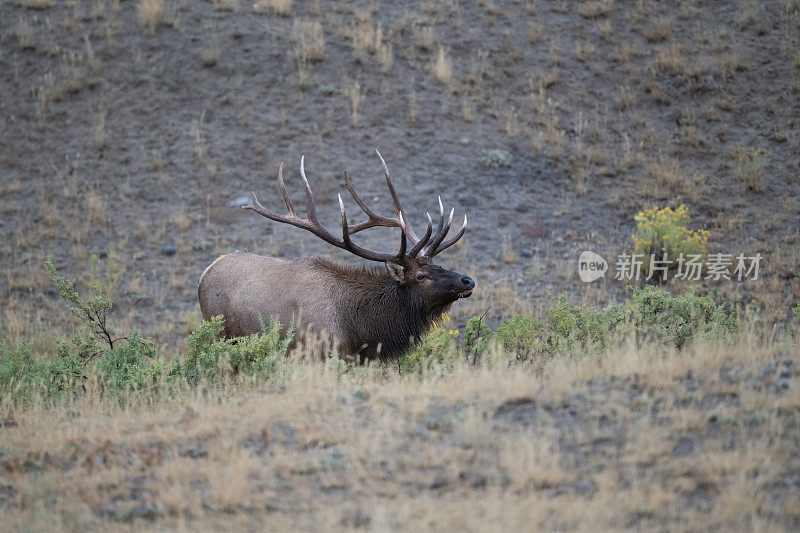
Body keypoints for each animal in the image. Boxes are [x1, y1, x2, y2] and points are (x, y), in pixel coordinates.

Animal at [198, 148, 476, 360]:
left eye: (438, 265)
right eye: (421, 276)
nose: (467, 280)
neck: (359, 329)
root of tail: (206, 271)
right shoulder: (318, 353)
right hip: (219, 334)